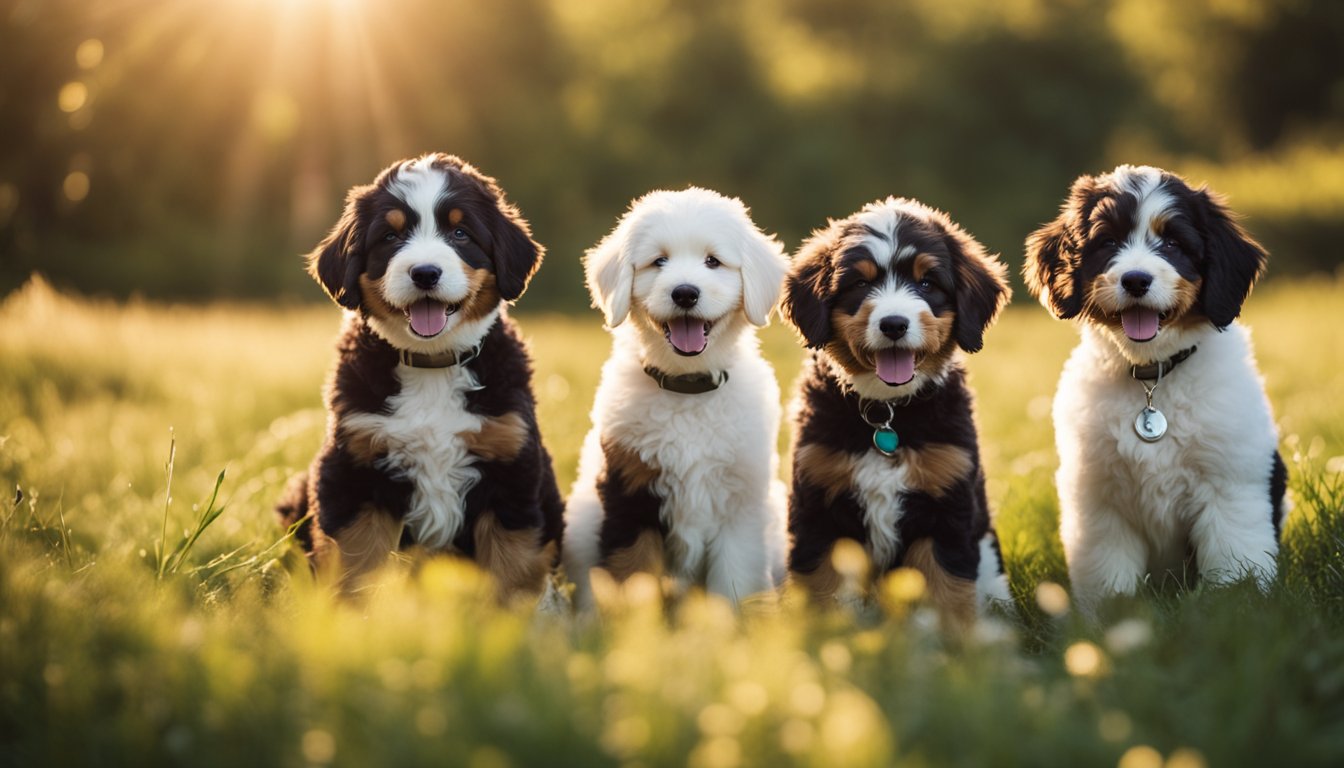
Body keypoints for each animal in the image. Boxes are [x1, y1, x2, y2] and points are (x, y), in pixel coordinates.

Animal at [278, 153, 561, 597]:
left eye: (460, 233)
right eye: (390, 237)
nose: (425, 272)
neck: (433, 366)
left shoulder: (510, 468)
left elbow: (510, 570)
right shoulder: (356, 468)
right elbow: (357, 566)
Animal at [561, 189, 790, 610]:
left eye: (713, 261)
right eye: (659, 261)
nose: (685, 292)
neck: (687, 389)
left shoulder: (742, 503)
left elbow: (734, 582)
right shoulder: (630, 489)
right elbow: (631, 573)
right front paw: (635, 623)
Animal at [784, 197, 1010, 632]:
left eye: (927, 284)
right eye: (859, 284)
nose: (893, 324)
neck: (885, 411)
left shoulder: (947, 507)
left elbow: (950, 594)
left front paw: (960, 647)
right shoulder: (817, 502)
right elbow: (822, 590)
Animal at [1021, 164, 1284, 613]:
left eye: (1174, 243)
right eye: (1107, 241)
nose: (1136, 280)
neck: (1152, 378)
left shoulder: (1230, 483)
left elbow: (1233, 561)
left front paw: (1232, 607)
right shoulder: (1099, 499)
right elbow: (1107, 577)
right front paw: (1112, 618)